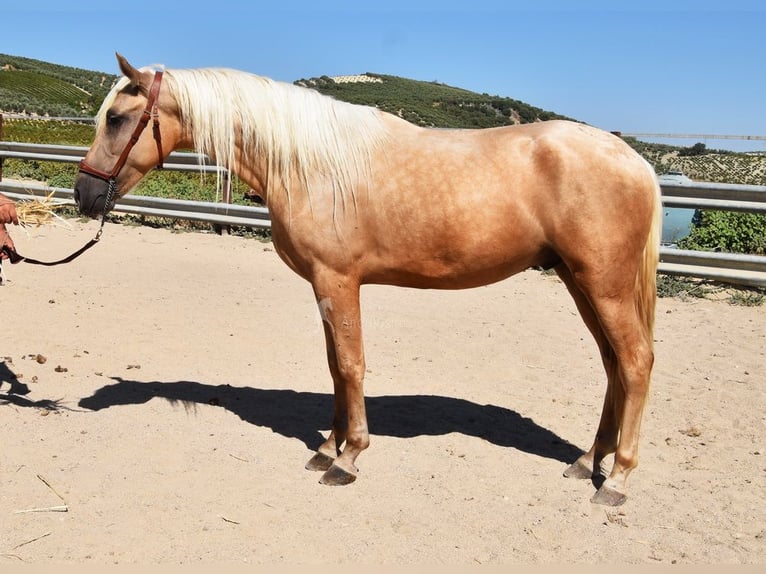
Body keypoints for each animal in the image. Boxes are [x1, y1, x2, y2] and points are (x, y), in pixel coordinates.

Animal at [75, 51, 664, 506]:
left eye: (118, 118)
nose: (85, 195)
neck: (309, 164)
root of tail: (635, 160)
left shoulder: (338, 281)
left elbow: (351, 366)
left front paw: (349, 457)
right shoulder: (324, 286)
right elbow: (335, 366)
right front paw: (326, 449)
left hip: (603, 283)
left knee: (635, 361)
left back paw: (617, 479)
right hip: (579, 280)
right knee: (613, 364)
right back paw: (588, 460)